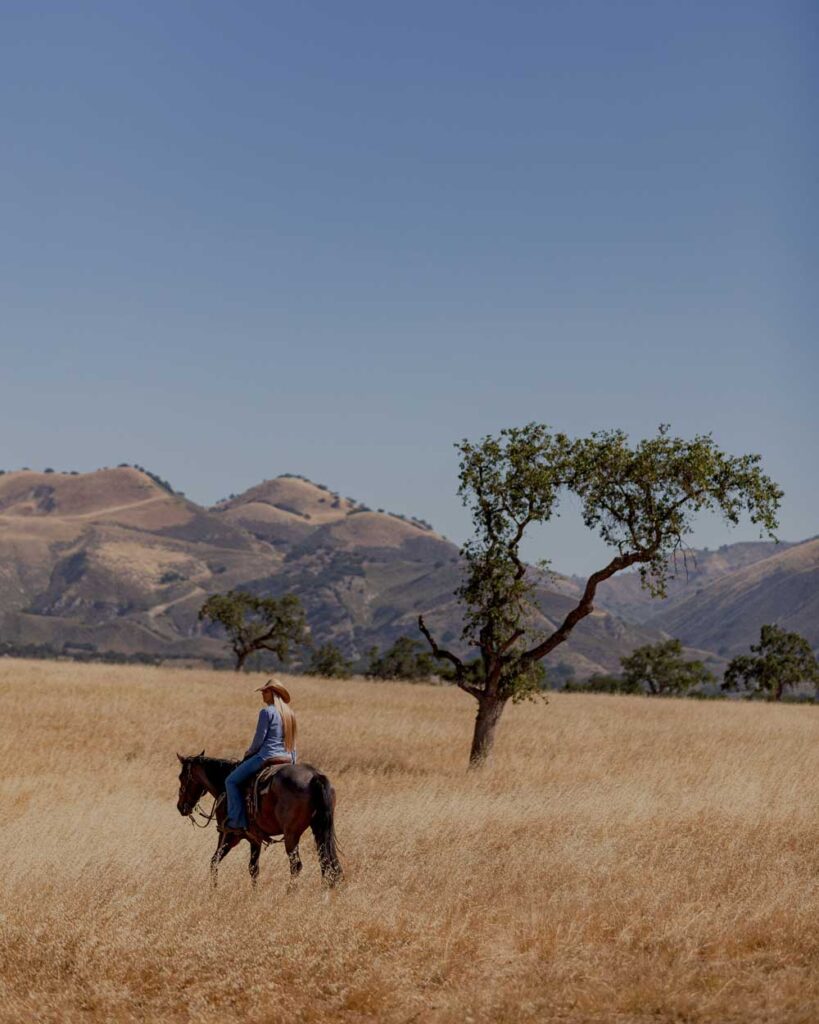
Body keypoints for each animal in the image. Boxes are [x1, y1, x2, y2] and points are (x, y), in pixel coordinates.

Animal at [176, 753, 341, 888]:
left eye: (181, 777)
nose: (180, 807)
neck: (223, 785)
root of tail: (315, 776)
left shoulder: (229, 835)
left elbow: (214, 861)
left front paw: (213, 889)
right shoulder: (255, 839)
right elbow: (253, 868)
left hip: (291, 835)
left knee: (296, 865)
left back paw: (290, 893)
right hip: (319, 829)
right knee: (327, 863)